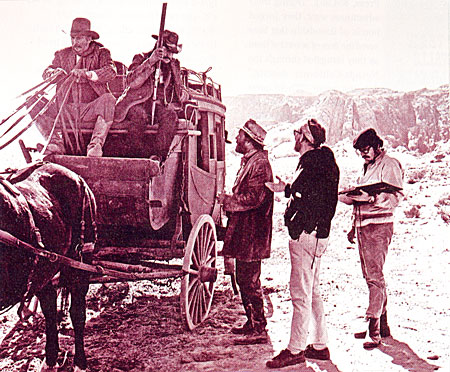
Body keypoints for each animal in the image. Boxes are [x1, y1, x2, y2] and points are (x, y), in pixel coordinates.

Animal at [0, 163, 96, 372]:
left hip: (80, 262)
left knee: (77, 314)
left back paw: (80, 363)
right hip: (42, 272)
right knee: (50, 310)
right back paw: (51, 359)